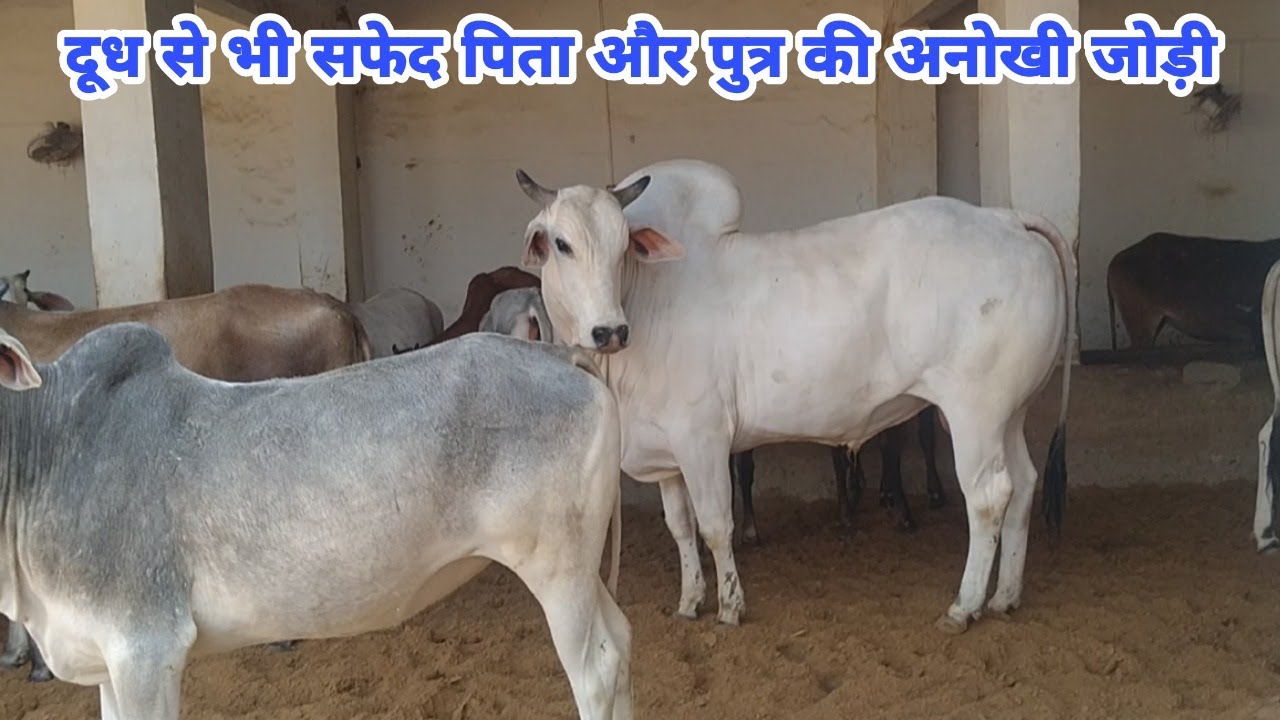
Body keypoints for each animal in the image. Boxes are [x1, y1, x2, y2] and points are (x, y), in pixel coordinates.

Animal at [513, 158, 1076, 634]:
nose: (609, 330)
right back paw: (1004, 596)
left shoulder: (702, 437)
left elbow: (715, 525)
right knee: (1024, 484)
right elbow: (680, 529)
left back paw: (965, 605)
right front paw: (690, 600)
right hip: (1009, 413)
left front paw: (730, 605)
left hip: (974, 411)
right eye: (561, 244)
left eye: (623, 245)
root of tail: (1005, 219)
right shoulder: (667, 454)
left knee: (988, 497)